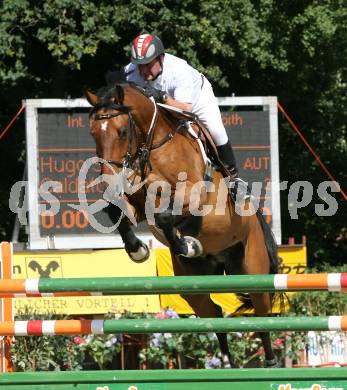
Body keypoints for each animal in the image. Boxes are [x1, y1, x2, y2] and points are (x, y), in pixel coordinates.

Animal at [85, 83, 284, 368]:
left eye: (122, 131)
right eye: (93, 133)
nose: (108, 180)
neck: (153, 148)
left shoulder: (196, 195)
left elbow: (166, 216)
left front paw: (187, 244)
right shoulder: (137, 204)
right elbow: (117, 213)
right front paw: (138, 250)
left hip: (252, 269)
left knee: (261, 312)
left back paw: (271, 363)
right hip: (195, 284)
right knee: (213, 314)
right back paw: (227, 364)